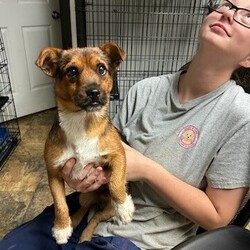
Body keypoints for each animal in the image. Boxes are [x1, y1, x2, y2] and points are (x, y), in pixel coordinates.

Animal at [35, 43, 135, 244]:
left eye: (102, 69)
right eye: (72, 71)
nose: (94, 93)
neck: (83, 122)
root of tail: (100, 199)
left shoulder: (119, 155)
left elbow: (115, 183)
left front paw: (125, 207)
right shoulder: (54, 172)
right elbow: (60, 204)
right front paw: (61, 228)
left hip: (108, 209)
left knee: (95, 217)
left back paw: (86, 236)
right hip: (84, 195)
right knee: (85, 208)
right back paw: (73, 221)